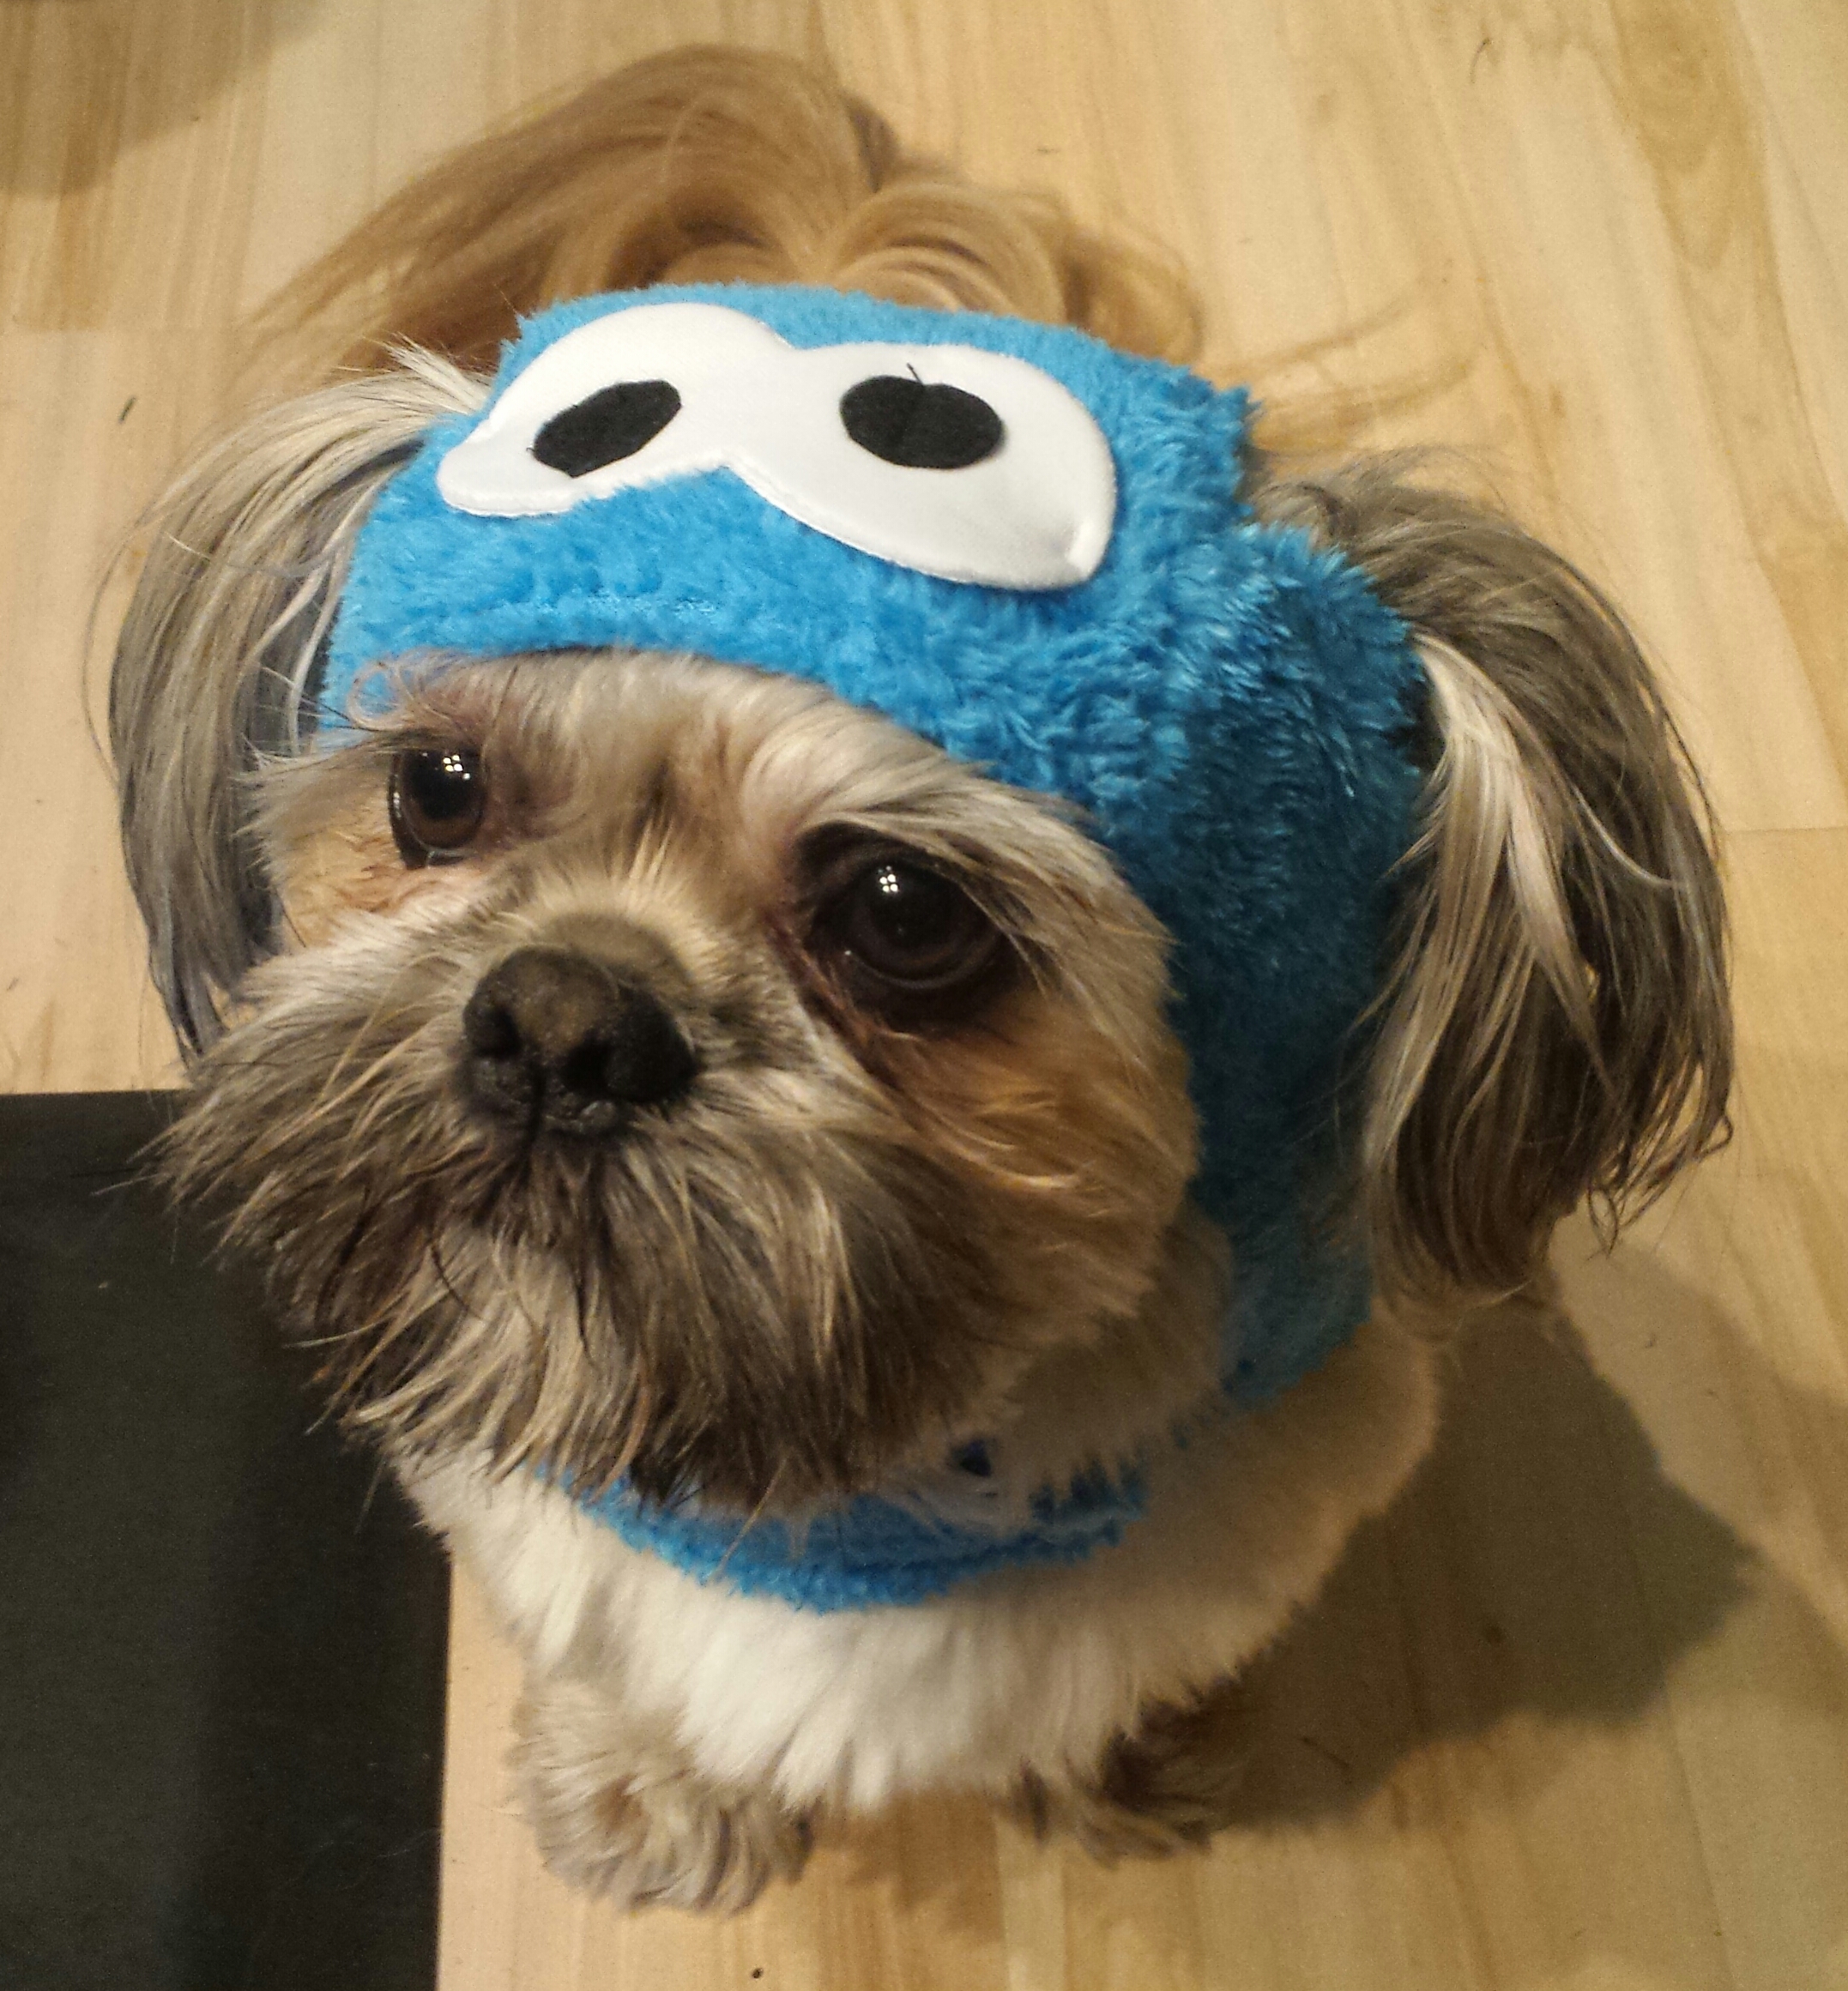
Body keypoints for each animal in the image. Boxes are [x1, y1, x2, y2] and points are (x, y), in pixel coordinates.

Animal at [110, 48, 1730, 1910]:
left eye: (900, 912)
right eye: (437, 790)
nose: (562, 1018)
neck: (857, 1479)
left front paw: (1123, 1758)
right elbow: (618, 1650)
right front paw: (649, 1779)